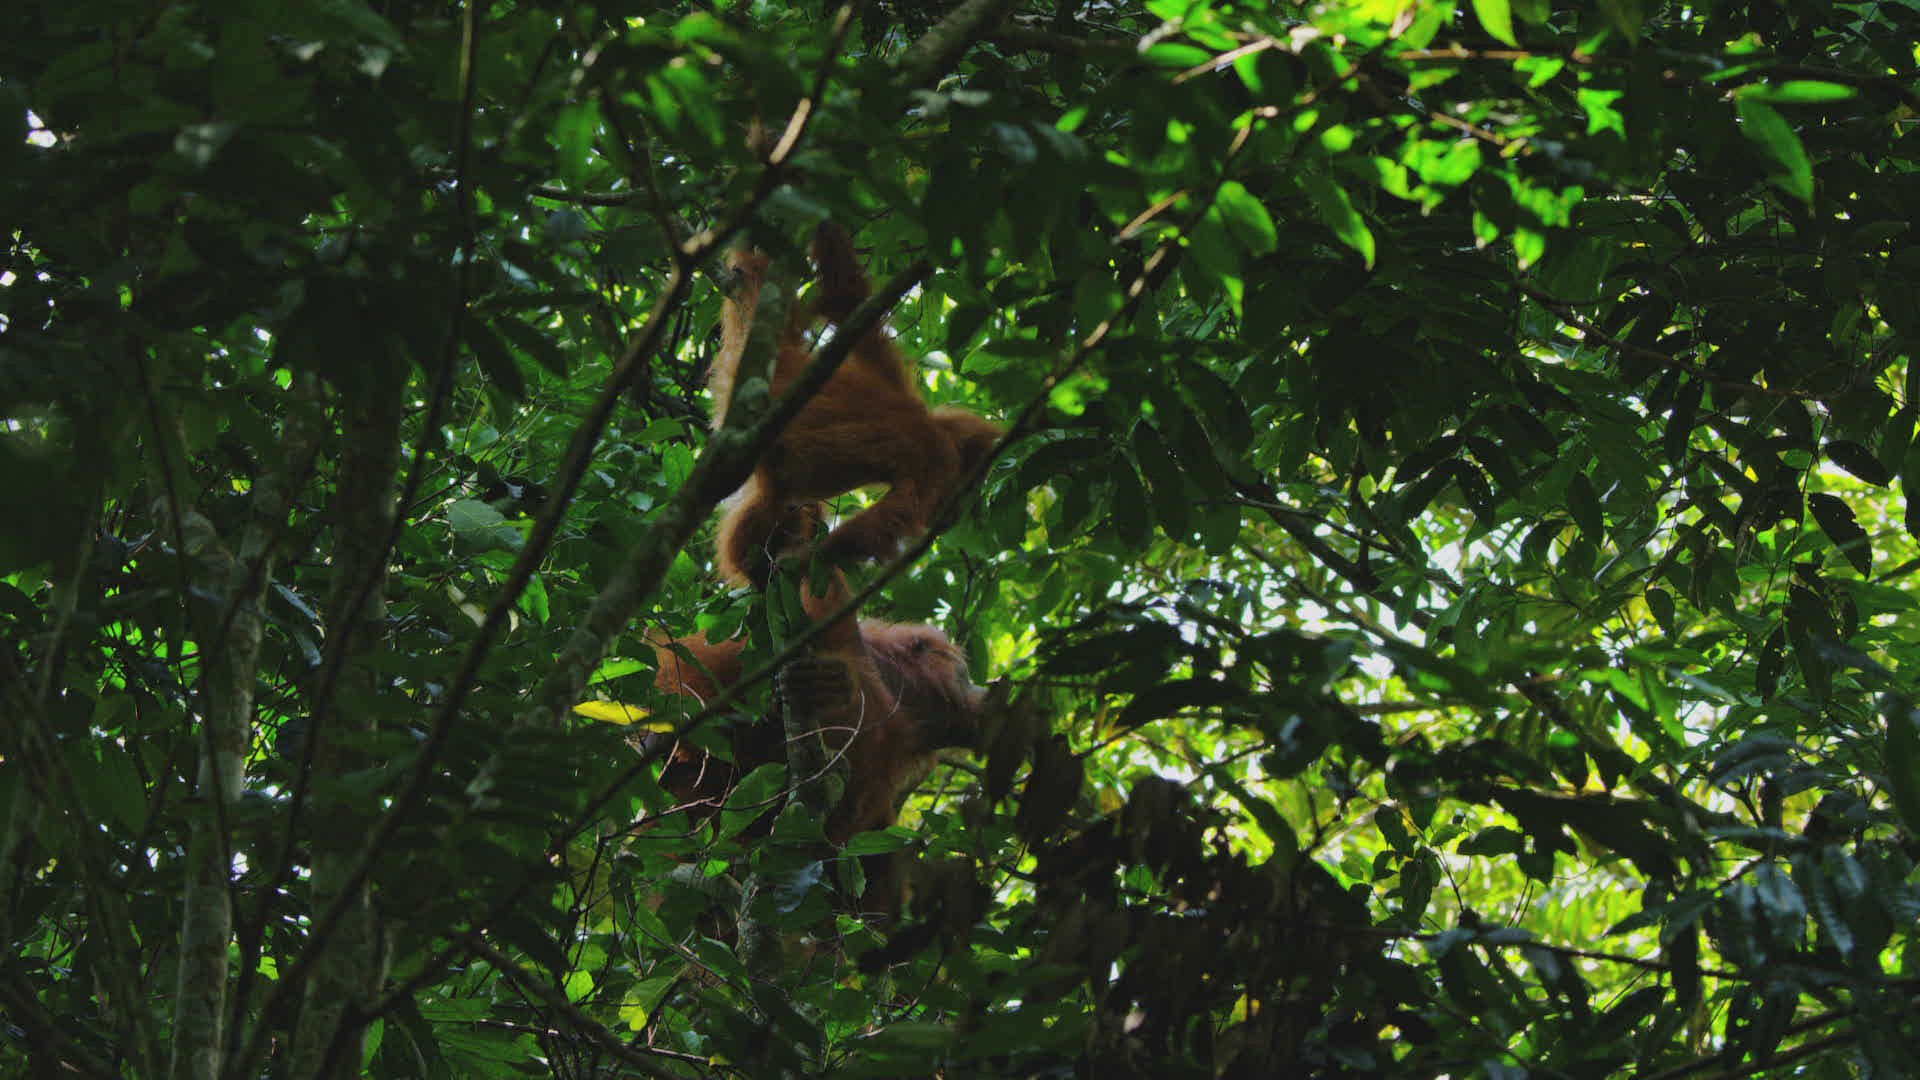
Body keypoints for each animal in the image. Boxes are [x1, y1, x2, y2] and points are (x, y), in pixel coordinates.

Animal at [708, 221, 1004, 589]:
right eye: (972, 480)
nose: (958, 511)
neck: (933, 424)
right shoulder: (939, 460)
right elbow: (891, 515)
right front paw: (806, 561)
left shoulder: (892, 377)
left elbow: (847, 298)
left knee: (777, 501)